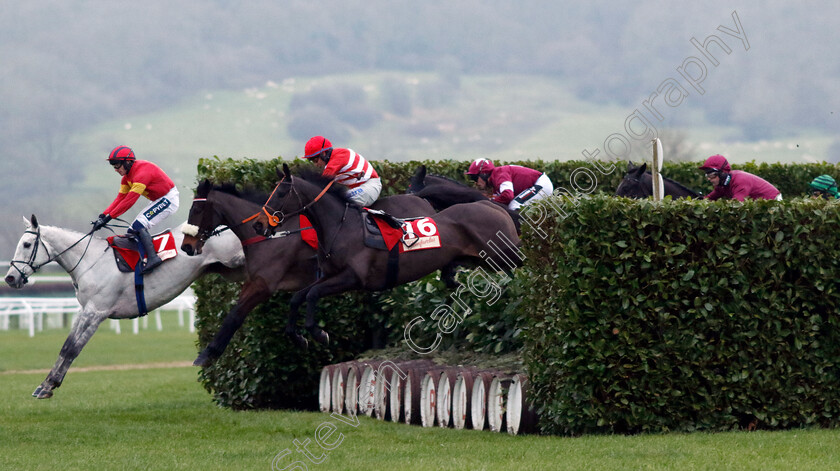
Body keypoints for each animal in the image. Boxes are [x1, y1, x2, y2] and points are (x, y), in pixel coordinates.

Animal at [181, 178, 436, 358]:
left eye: (196, 211)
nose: (186, 246)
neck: (269, 237)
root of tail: (423, 201)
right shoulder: (254, 281)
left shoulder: (264, 285)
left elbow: (234, 315)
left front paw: (208, 354)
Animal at [253, 165, 520, 346]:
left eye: (280, 193)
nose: (258, 224)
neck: (341, 226)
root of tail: (491, 205)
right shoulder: (330, 275)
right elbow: (298, 296)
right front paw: (297, 336)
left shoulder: (353, 278)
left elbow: (312, 294)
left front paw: (318, 332)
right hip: (483, 260)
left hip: (503, 255)